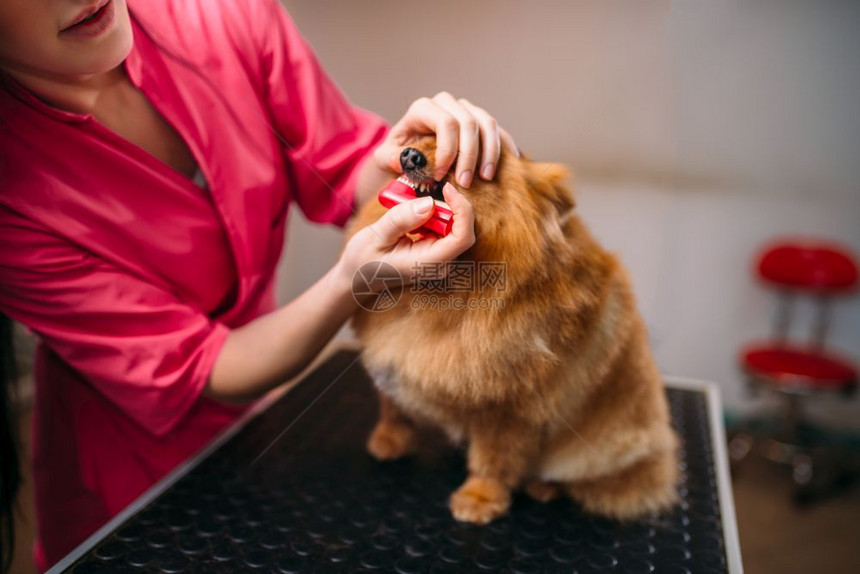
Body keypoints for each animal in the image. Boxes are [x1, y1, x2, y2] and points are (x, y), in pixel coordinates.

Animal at [348, 137, 680, 524]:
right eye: (427, 138)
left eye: (466, 159)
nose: (408, 154)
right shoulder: (395, 351)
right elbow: (392, 403)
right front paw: (388, 439)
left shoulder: (508, 406)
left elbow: (494, 457)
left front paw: (479, 497)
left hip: (607, 448)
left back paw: (544, 486)